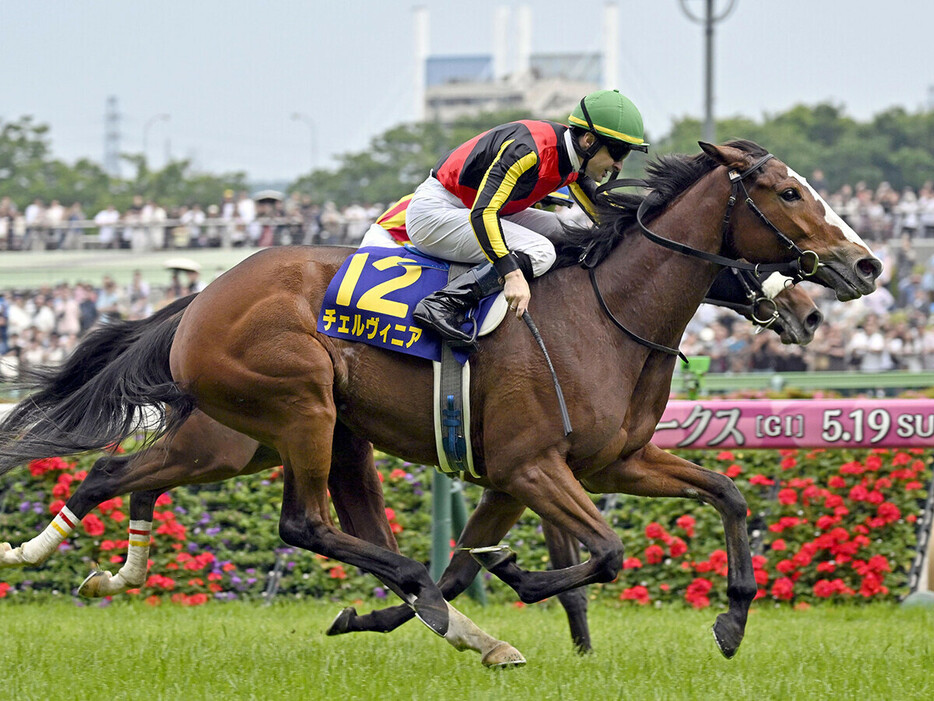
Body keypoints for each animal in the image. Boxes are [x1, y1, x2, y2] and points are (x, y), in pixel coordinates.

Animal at [0, 138, 880, 660]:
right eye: (789, 193)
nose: (866, 267)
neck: (607, 314)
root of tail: (201, 297)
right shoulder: (531, 467)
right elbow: (601, 552)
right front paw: (519, 579)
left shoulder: (602, 463)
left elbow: (726, 491)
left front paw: (731, 619)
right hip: (294, 411)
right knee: (302, 523)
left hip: (287, 438)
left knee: (122, 476)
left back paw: (76, 562)